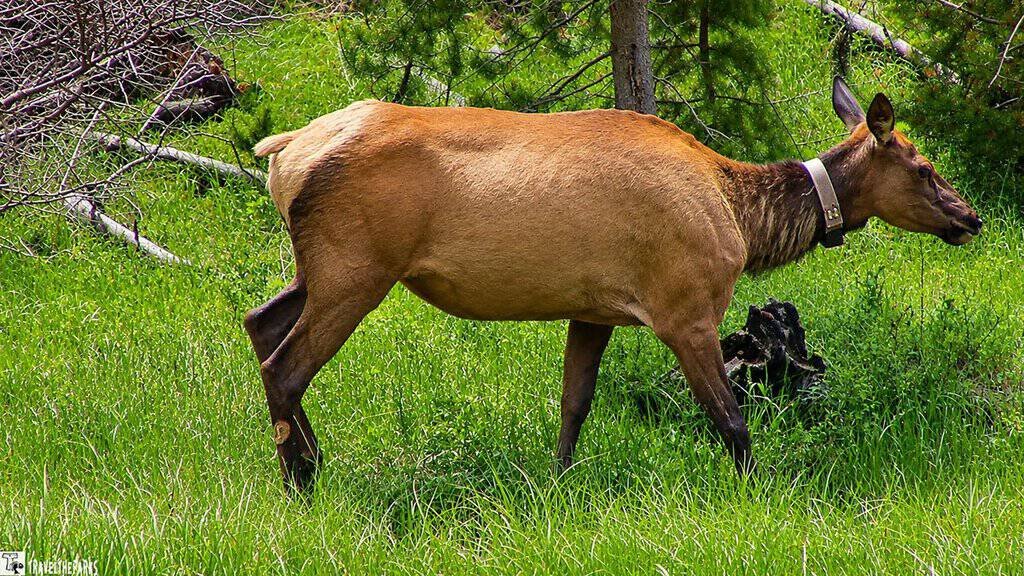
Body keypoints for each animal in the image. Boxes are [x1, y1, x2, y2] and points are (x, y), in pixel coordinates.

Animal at [245, 77, 981, 494]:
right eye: (923, 167)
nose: (970, 216)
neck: (745, 217)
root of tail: (280, 151)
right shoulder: (685, 310)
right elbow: (732, 421)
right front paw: (762, 496)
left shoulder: (592, 310)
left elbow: (573, 409)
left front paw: (558, 489)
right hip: (357, 267)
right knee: (287, 365)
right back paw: (300, 483)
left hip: (320, 269)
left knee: (260, 323)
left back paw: (312, 463)